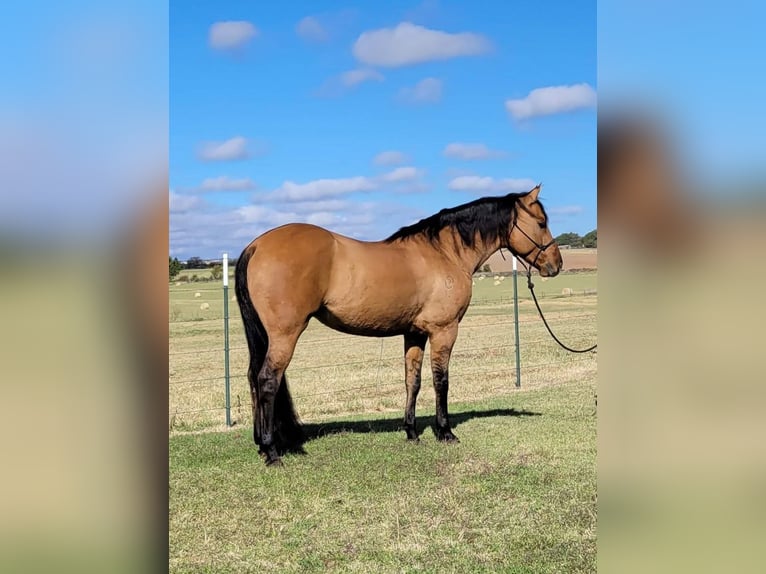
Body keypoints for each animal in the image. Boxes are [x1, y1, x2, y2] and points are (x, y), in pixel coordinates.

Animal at [236, 184, 564, 468]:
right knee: (267, 380)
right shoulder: (444, 330)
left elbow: (412, 381)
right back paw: (272, 451)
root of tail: (256, 246)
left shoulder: (414, 333)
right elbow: (441, 381)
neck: (444, 253)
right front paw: (445, 432)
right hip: (285, 334)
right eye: (541, 222)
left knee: (253, 377)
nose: (556, 265)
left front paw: (412, 432)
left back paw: (261, 444)